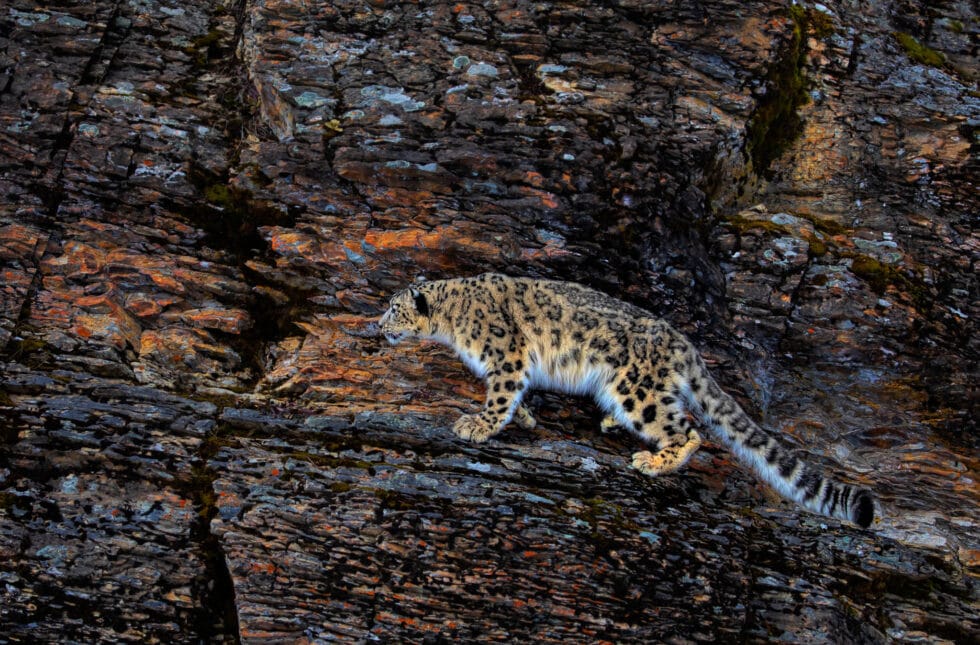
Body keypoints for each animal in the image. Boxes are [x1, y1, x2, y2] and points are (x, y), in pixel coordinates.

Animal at [379, 273, 876, 528]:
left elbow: (500, 395)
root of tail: (683, 343)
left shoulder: (507, 355)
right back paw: (613, 424)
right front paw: (527, 420)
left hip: (634, 385)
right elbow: (514, 398)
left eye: (392, 308)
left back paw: (653, 460)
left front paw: (477, 425)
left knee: (688, 429)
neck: (453, 322)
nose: (376, 325)